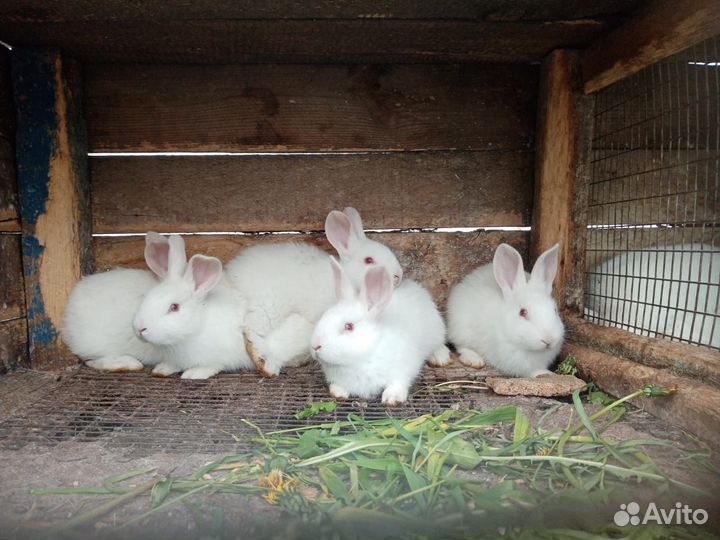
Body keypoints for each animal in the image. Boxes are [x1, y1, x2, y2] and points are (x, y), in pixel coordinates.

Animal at [226, 207, 407, 377]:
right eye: (369, 260)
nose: (398, 275)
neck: (345, 274)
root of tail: (232, 275)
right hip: (269, 308)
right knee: (251, 329)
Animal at [310, 257, 446, 405]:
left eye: (349, 326)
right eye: (324, 316)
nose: (315, 346)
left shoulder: (403, 369)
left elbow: (398, 383)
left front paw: (392, 398)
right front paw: (338, 392)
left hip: (435, 331)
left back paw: (440, 357)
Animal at [447, 243, 564, 378]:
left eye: (555, 310)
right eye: (522, 312)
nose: (549, 339)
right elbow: (529, 371)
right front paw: (542, 373)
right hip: (461, 330)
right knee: (461, 346)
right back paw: (474, 359)